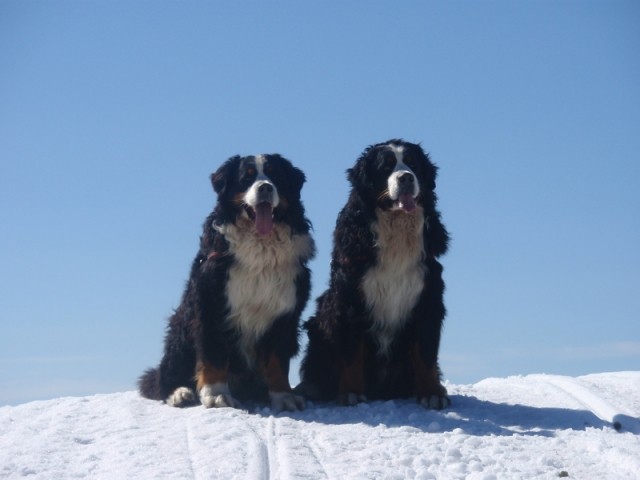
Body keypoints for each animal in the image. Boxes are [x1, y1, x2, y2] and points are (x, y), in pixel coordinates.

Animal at [140, 155, 316, 412]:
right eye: (247, 177)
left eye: (275, 176)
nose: (265, 187)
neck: (261, 247)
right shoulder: (212, 304)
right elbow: (213, 353)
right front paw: (216, 395)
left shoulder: (285, 313)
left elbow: (277, 360)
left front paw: (283, 395)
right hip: (180, 330)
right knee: (162, 377)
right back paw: (179, 393)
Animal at [296, 138, 450, 408]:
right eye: (385, 167)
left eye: (413, 164)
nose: (406, 178)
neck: (397, 230)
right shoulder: (350, 300)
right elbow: (351, 353)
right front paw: (351, 392)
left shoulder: (428, 298)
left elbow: (426, 352)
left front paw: (432, 392)